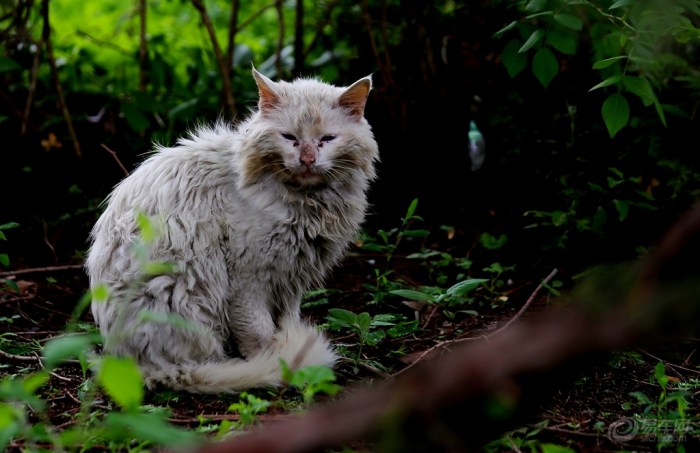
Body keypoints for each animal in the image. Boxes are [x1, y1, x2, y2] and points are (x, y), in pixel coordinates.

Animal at [85, 67, 380, 392]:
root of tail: (143, 367)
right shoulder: (249, 276)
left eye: (327, 139)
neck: (306, 202)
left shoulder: (293, 276)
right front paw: (271, 360)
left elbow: (287, 319)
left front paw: (287, 341)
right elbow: (256, 332)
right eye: (289, 137)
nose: (307, 160)